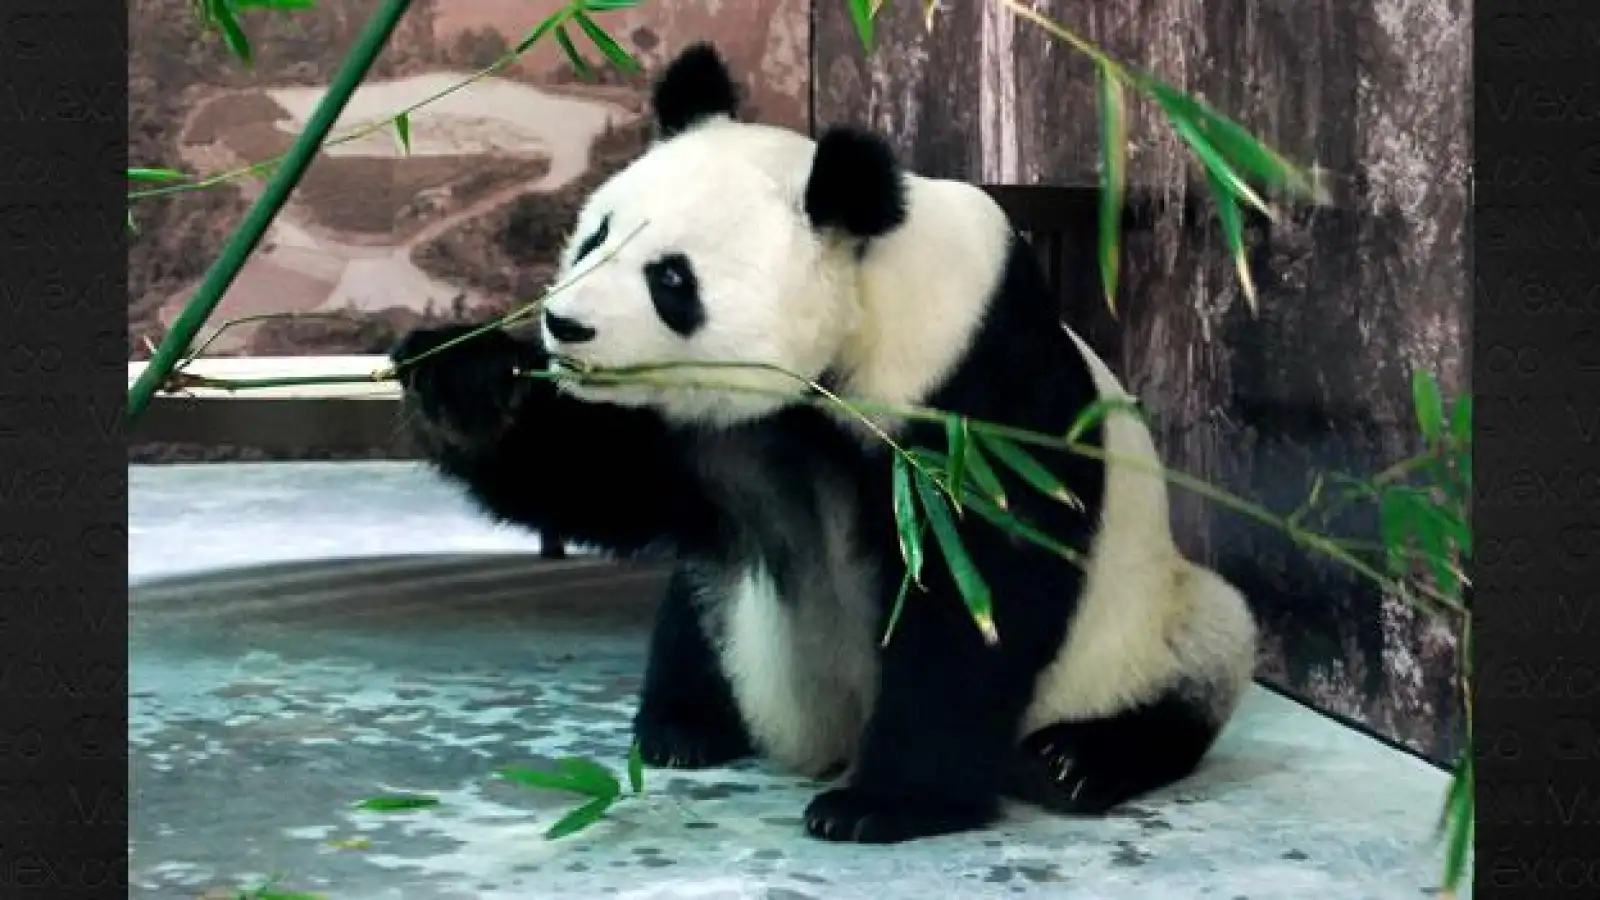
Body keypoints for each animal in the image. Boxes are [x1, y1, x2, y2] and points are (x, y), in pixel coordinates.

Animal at [391, 42, 1258, 844]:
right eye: (594, 237)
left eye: (671, 279)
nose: (565, 326)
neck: (862, 306)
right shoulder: (712, 433)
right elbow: (605, 477)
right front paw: (466, 379)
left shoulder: (973, 388)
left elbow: (979, 591)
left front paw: (884, 803)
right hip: (733, 603)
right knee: (696, 612)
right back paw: (686, 724)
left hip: (1147, 628)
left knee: (1205, 649)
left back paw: (1077, 761)